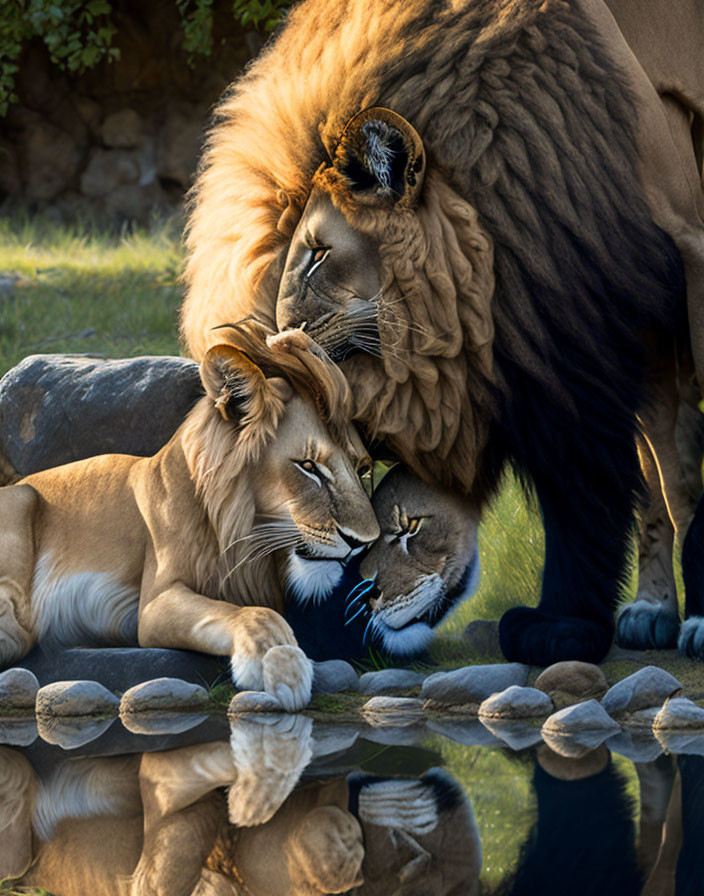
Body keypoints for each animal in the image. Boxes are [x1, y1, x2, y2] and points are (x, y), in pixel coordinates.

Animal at [0, 326, 380, 712]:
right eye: (308, 466)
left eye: (359, 466)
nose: (364, 542)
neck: (241, 537)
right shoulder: (154, 604)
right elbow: (251, 612)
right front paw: (279, 662)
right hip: (22, 503)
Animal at [180, 0, 704, 664]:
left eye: (319, 254)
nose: (282, 338)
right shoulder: (566, 345)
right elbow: (609, 487)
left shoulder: (621, 304)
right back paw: (653, 609)